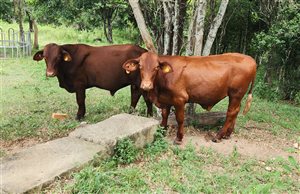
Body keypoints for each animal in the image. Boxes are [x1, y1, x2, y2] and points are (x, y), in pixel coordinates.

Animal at [123, 52, 256, 143]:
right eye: (140, 66)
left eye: (156, 67)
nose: (146, 85)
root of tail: (250, 59)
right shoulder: (166, 99)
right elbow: (165, 115)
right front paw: (162, 131)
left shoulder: (180, 99)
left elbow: (180, 119)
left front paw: (179, 138)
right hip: (237, 96)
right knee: (235, 111)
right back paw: (227, 134)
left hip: (235, 94)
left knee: (231, 113)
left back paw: (218, 136)